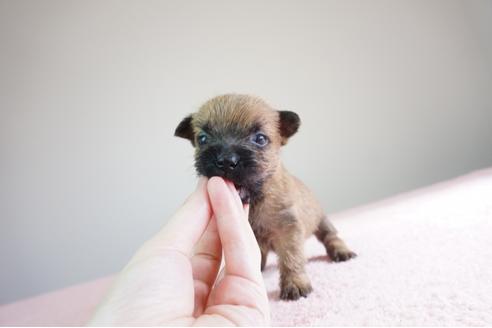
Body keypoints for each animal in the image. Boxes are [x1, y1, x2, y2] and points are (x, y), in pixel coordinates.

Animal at [175, 94, 356, 300]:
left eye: (260, 139)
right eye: (202, 138)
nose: (226, 161)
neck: (257, 200)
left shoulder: (288, 229)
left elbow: (291, 257)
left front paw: (295, 283)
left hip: (322, 221)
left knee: (331, 236)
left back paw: (341, 251)